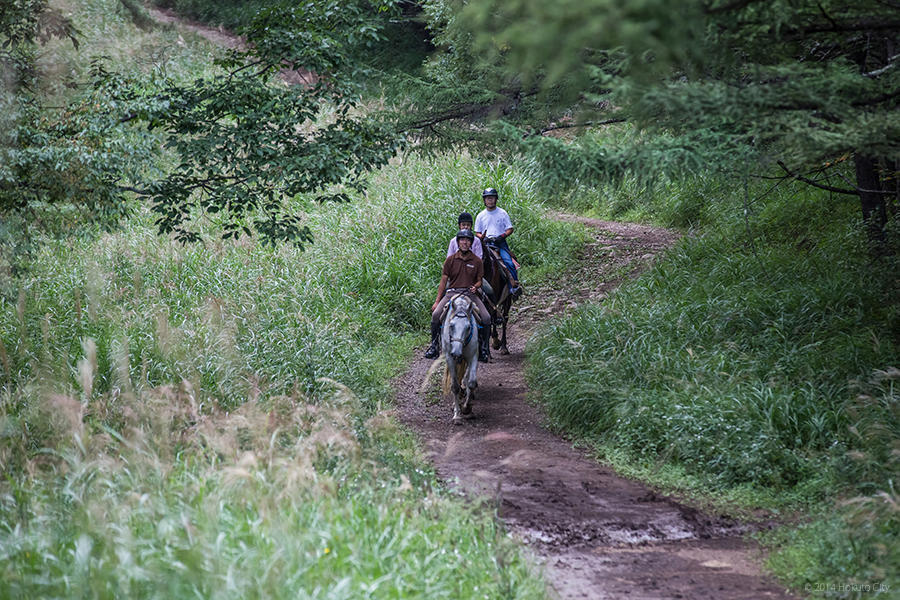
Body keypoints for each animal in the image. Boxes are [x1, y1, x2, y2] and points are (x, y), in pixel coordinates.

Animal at [442, 292, 478, 424]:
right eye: (451, 326)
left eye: (468, 327)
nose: (456, 352)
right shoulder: (450, 357)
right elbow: (455, 387)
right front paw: (457, 415)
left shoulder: (473, 356)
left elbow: (471, 383)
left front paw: (467, 408)